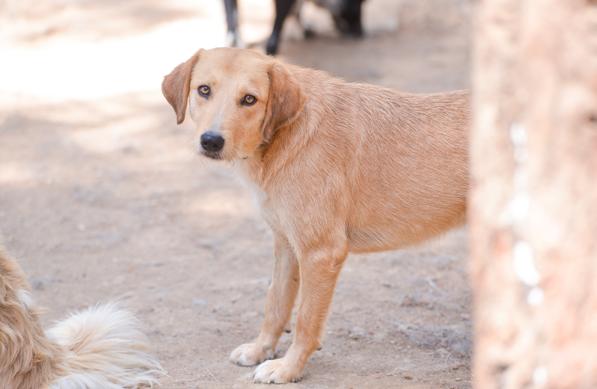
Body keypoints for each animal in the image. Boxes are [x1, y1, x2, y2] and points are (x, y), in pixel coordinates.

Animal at [162, 47, 466, 382]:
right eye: (204, 90)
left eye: (249, 99)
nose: (211, 141)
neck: (288, 134)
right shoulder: (286, 245)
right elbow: (276, 304)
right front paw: (260, 350)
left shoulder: (320, 253)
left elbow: (306, 320)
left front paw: (288, 368)